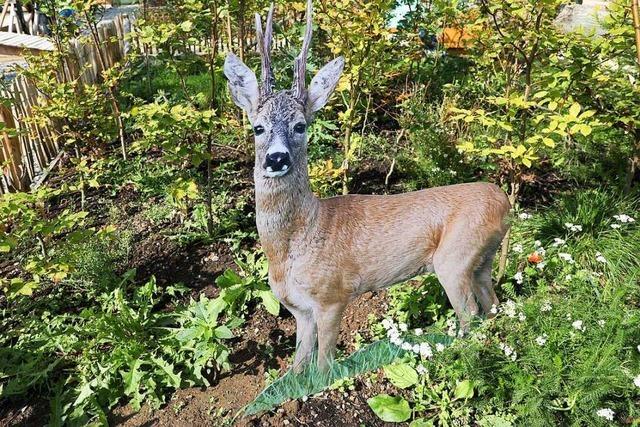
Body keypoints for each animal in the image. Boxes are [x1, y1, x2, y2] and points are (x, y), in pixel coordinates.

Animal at [225, 0, 510, 372]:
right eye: (258, 128)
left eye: (301, 125)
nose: (276, 158)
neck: (295, 242)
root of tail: (504, 200)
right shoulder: (299, 310)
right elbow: (298, 367)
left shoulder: (333, 295)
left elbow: (324, 366)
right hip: (481, 262)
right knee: (493, 306)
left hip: (454, 259)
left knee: (471, 315)